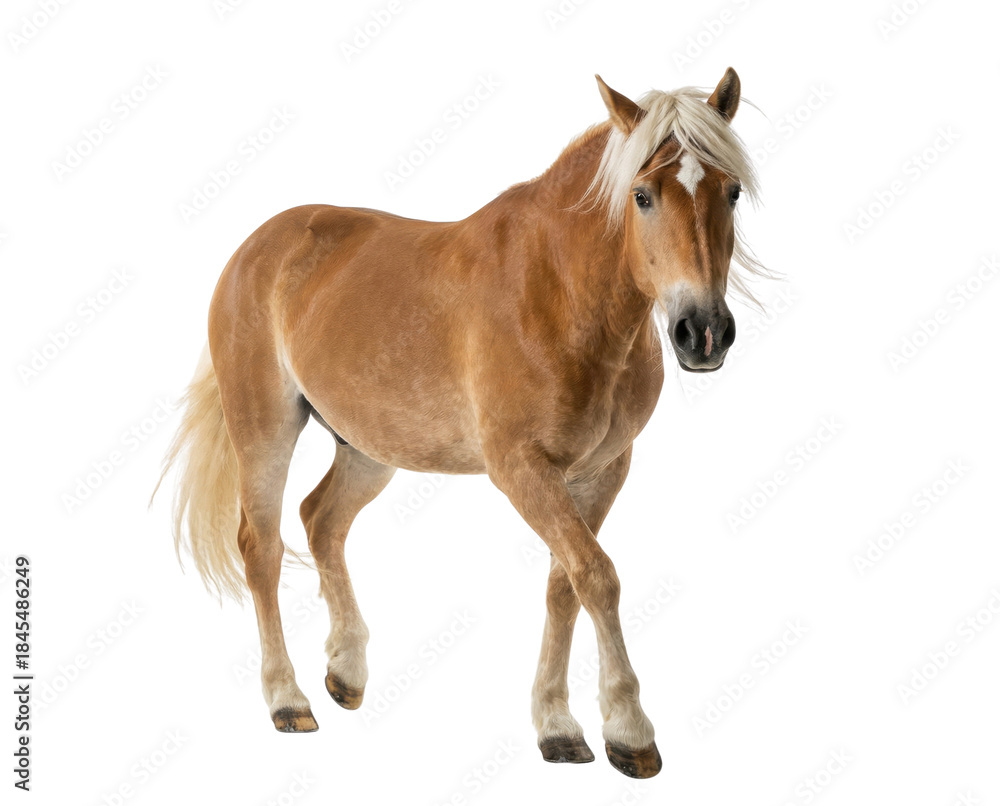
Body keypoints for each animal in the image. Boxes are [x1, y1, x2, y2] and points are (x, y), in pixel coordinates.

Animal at [158, 68, 764, 779]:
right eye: (641, 195)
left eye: (731, 192)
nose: (704, 332)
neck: (559, 292)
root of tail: (256, 247)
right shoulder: (522, 470)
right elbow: (597, 575)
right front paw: (629, 730)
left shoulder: (602, 471)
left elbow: (565, 585)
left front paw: (557, 726)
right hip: (264, 431)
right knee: (262, 547)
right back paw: (288, 699)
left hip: (368, 447)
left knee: (322, 520)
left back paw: (346, 671)